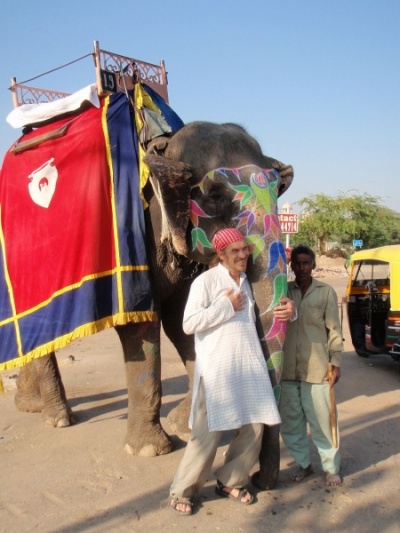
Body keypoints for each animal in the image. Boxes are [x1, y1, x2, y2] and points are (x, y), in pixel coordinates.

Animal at [13, 120, 293, 488]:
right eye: (215, 197)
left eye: (279, 191)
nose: (261, 479)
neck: (164, 146)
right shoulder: (133, 242)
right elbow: (142, 325)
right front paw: (150, 449)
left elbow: (183, 322)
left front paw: (184, 427)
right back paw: (58, 418)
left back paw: (29, 406)